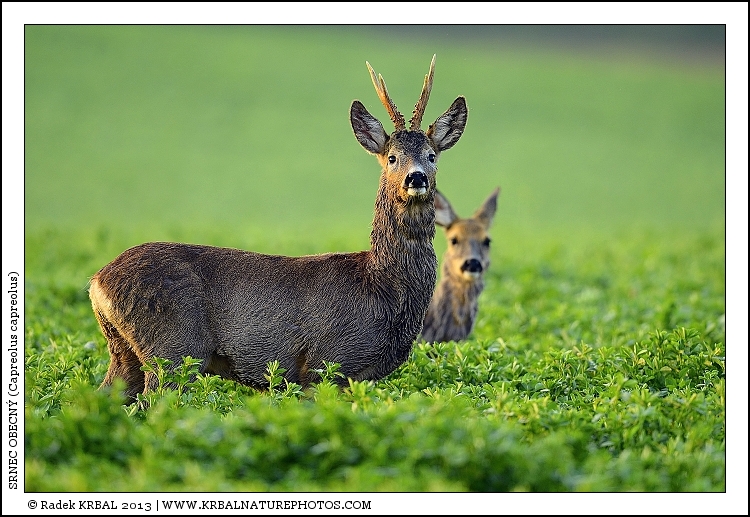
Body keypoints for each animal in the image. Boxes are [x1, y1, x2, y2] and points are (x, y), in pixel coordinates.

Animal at [88, 55, 468, 401]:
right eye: (392, 157)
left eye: (432, 155)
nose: (415, 178)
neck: (381, 286)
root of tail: (96, 282)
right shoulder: (325, 363)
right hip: (173, 348)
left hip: (125, 352)